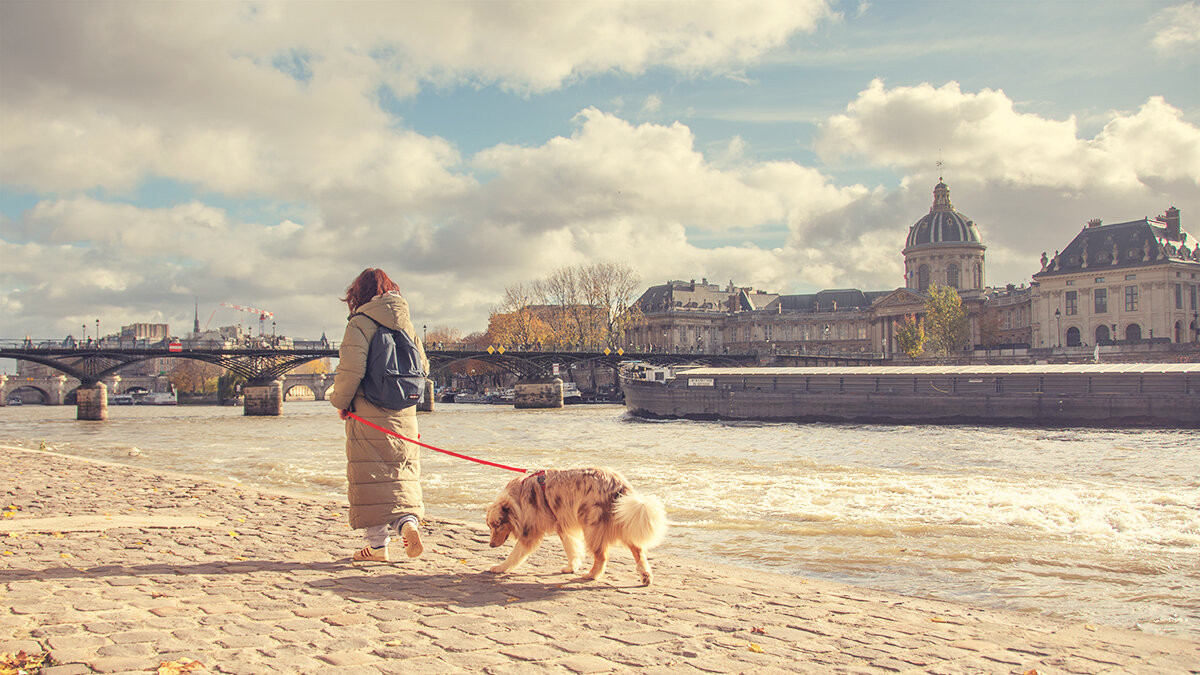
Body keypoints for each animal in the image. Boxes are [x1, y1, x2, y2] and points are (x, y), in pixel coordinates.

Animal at [484, 468, 667, 583]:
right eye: (490, 526)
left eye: (497, 524)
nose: (491, 545)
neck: (518, 497)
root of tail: (619, 484)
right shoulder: (562, 526)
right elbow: (571, 548)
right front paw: (571, 567)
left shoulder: (531, 531)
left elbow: (515, 554)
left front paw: (500, 568)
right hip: (624, 519)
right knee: (638, 551)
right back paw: (645, 576)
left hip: (592, 526)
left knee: (602, 556)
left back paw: (591, 575)